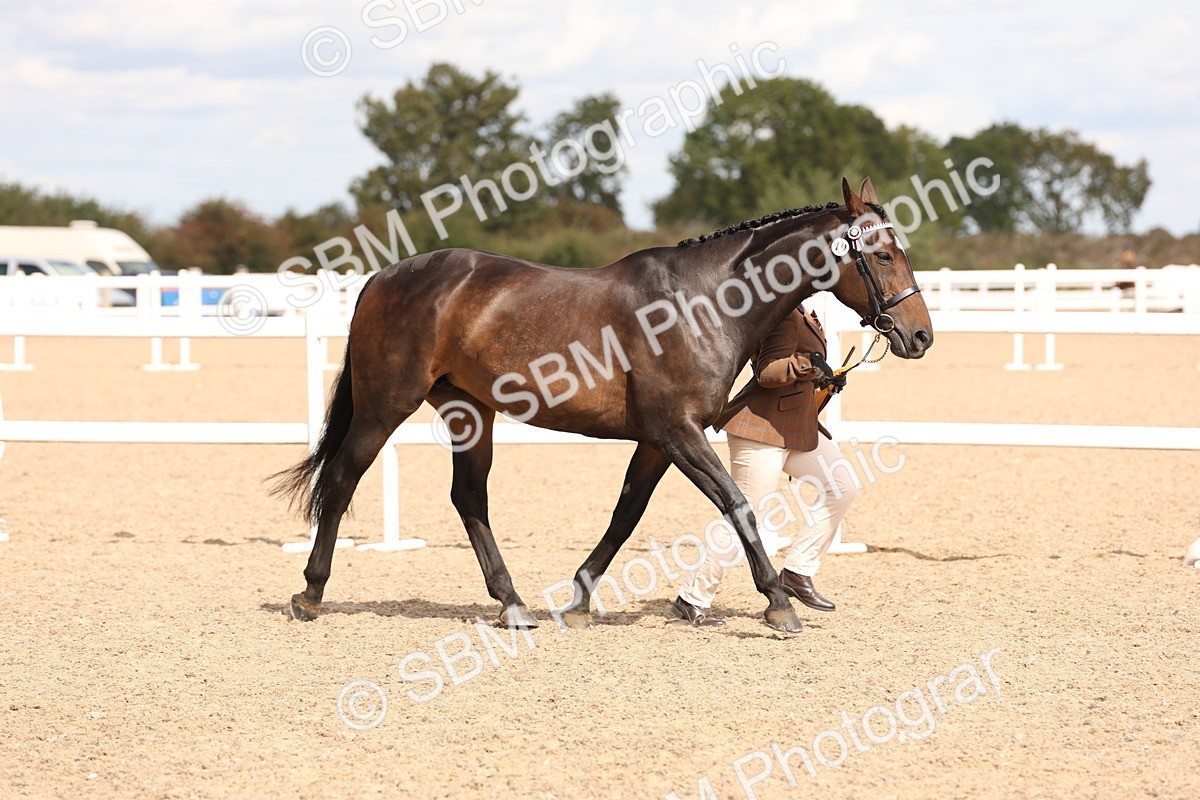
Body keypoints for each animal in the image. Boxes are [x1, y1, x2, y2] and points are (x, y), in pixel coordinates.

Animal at [272, 178, 933, 633]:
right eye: (881, 255)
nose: (920, 335)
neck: (703, 301)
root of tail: (384, 276)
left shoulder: (657, 441)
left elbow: (625, 515)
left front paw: (580, 599)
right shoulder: (678, 433)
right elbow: (740, 507)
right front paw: (778, 604)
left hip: (470, 412)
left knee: (469, 499)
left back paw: (513, 604)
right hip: (386, 406)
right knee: (342, 478)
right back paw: (310, 594)